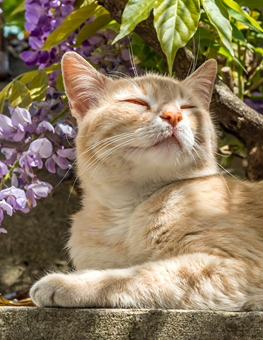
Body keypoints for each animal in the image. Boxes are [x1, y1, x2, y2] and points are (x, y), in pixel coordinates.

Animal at [29, 51, 263, 310]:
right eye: (137, 103)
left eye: (187, 107)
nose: (174, 115)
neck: (128, 211)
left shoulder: (236, 266)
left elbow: (135, 274)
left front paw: (68, 282)